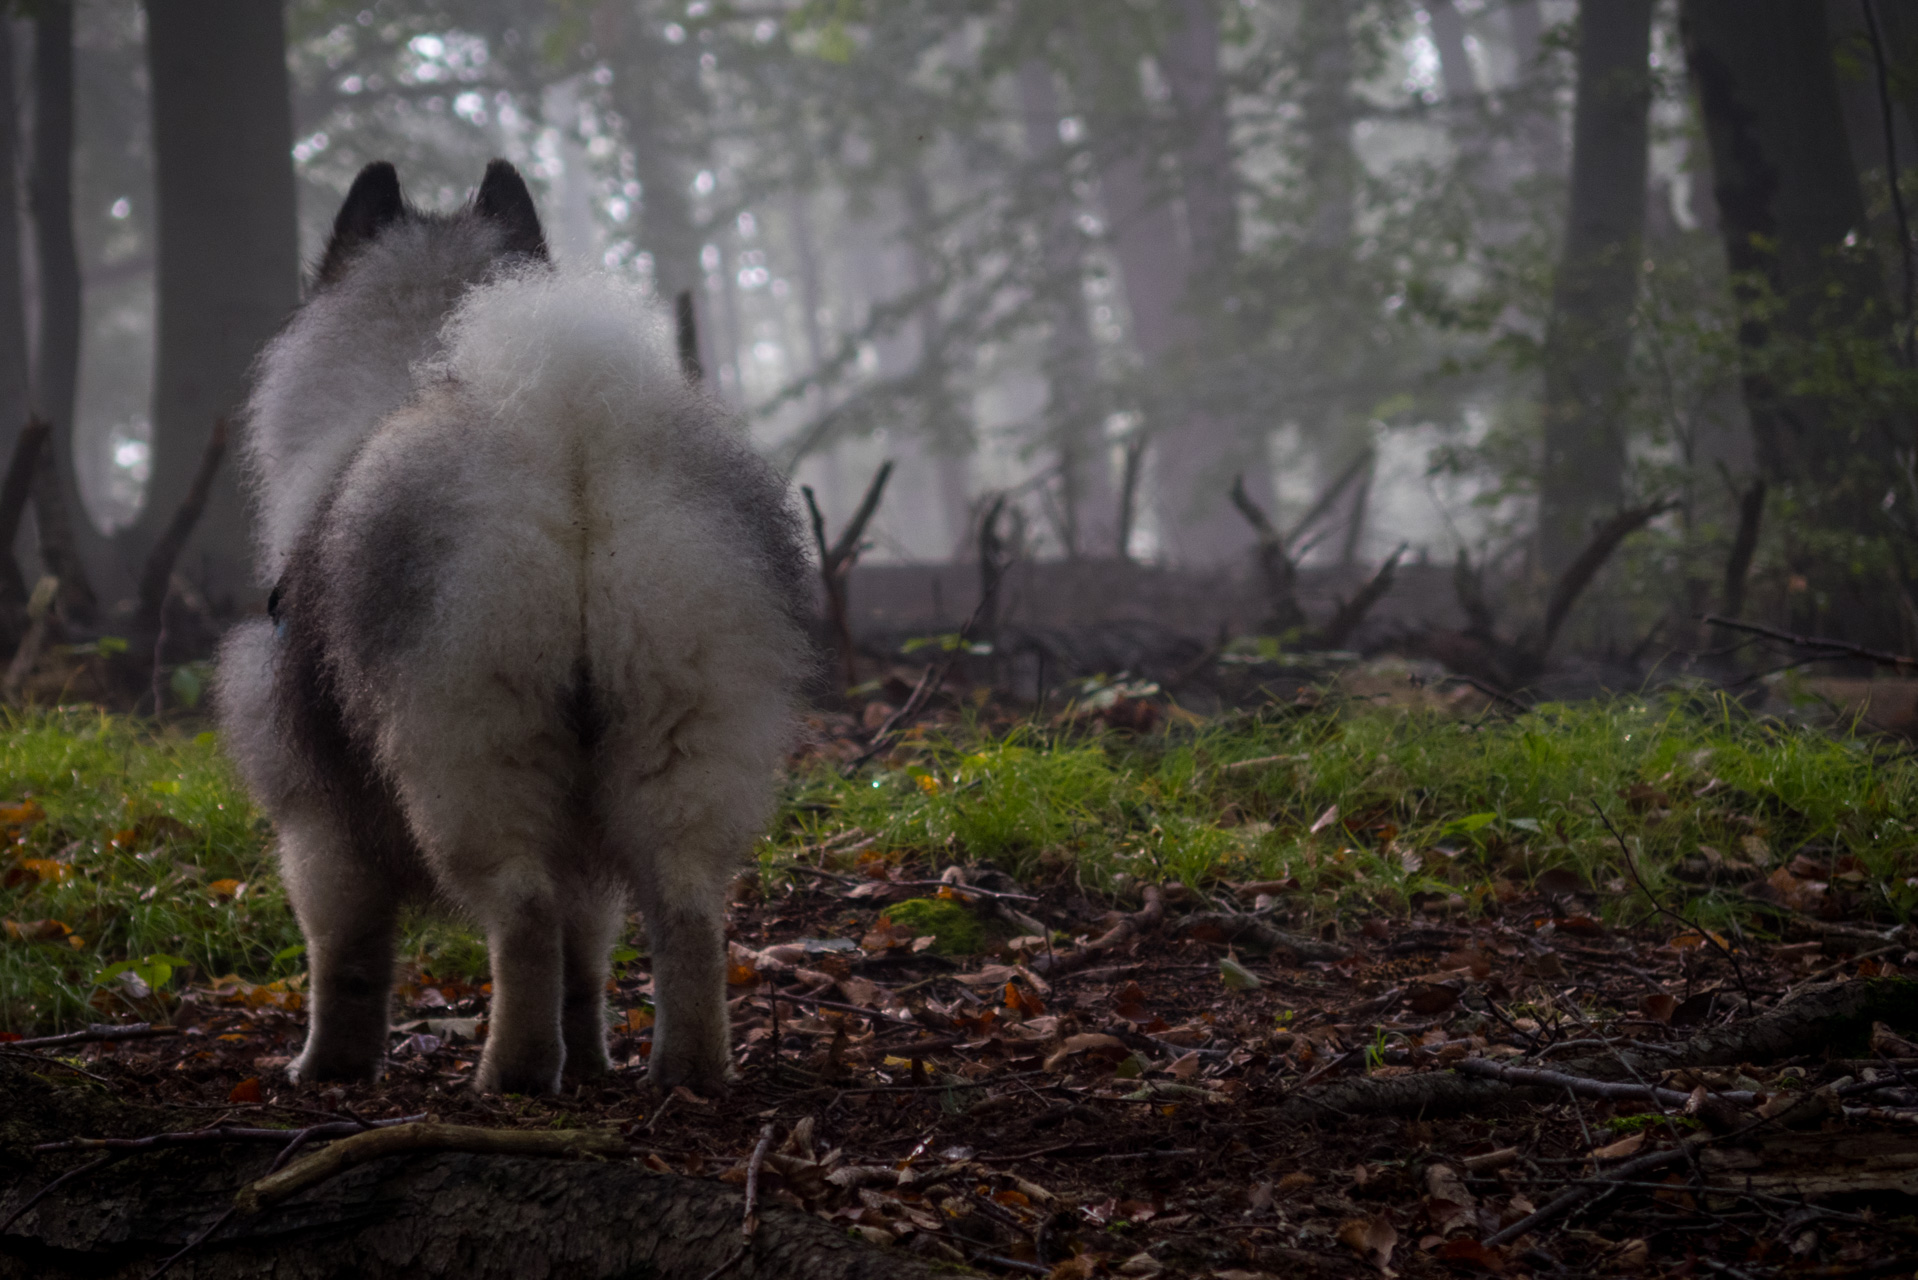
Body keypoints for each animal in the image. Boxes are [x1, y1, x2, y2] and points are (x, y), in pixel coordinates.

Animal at [220, 160, 813, 1097]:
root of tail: (567, 428)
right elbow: (587, 962)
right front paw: (593, 1055)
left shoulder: (316, 825)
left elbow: (345, 962)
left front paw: (326, 1068)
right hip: (679, 730)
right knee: (684, 912)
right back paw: (682, 1071)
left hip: (470, 743)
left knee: (523, 914)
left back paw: (513, 1072)